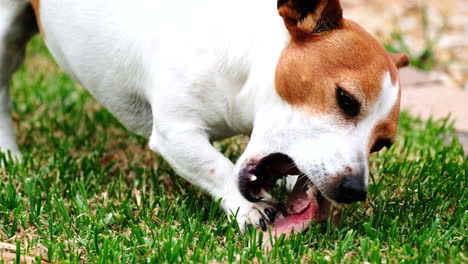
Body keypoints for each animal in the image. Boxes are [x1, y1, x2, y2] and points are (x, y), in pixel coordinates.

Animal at [0, 0, 406, 234]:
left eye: (382, 145)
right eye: (346, 99)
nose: (354, 191)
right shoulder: (176, 132)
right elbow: (216, 167)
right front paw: (248, 210)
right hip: (6, 32)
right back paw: (9, 154)